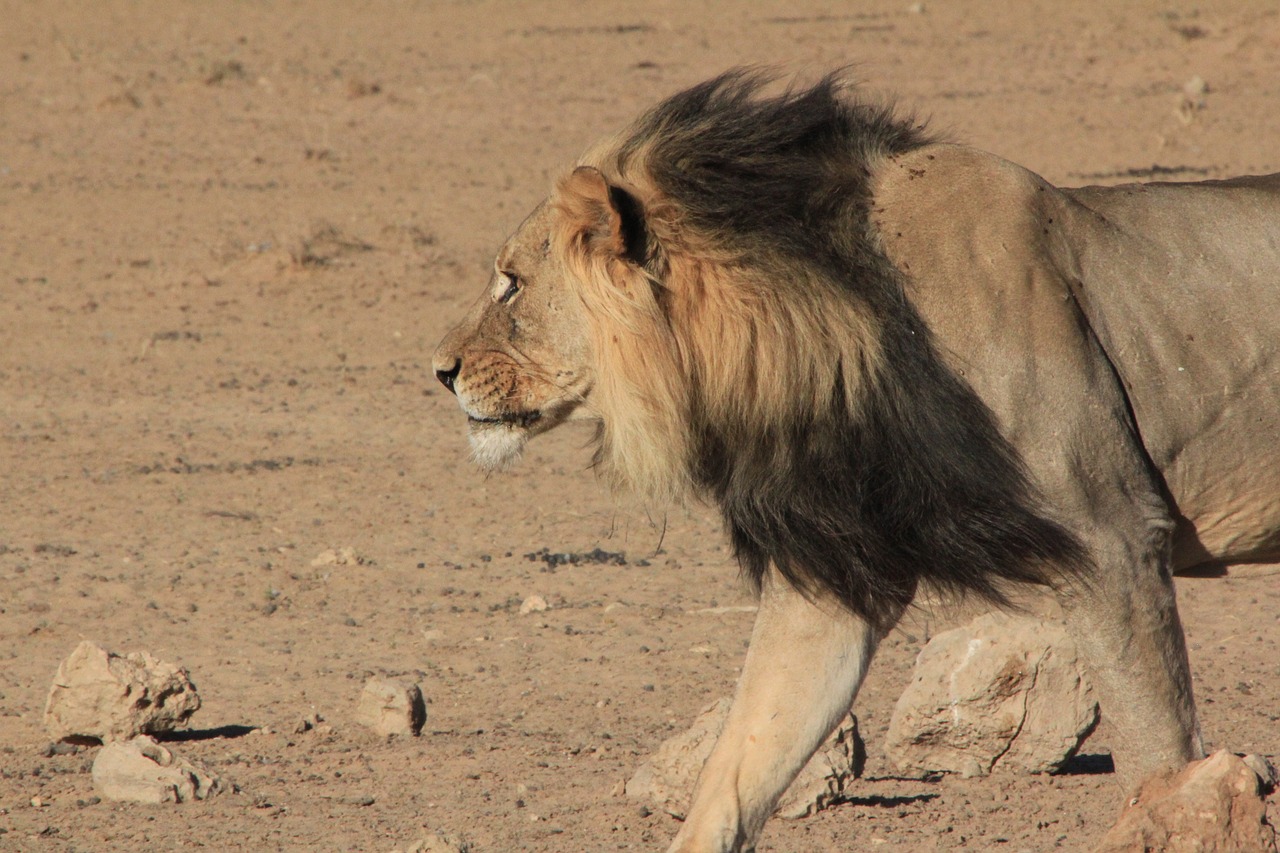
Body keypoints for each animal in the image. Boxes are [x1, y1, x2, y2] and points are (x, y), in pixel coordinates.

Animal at [432, 73, 1280, 850]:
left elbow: (1157, 750)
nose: (439, 369)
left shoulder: (1113, 536)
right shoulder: (839, 570)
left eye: (511, 283)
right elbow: (742, 757)